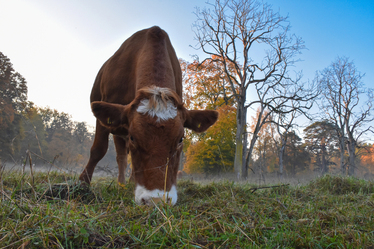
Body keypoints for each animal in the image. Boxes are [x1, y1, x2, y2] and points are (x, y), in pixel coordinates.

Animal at [79, 26, 219, 206]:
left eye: (181, 139)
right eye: (133, 137)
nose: (156, 200)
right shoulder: (107, 109)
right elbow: (98, 149)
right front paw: (83, 183)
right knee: (121, 157)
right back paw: (121, 184)